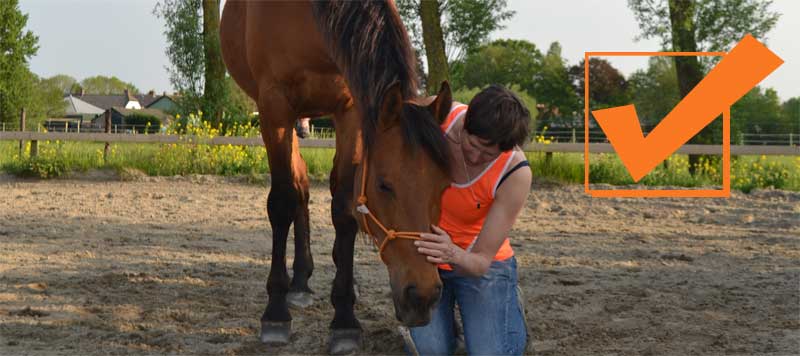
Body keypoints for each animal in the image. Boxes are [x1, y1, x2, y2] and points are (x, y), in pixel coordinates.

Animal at [219, 0, 454, 354]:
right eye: (384, 185)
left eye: (443, 184)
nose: (423, 295)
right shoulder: (274, 106)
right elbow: (282, 202)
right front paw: (275, 312)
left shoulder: (351, 108)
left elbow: (344, 208)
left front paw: (344, 317)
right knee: (298, 188)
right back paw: (297, 283)